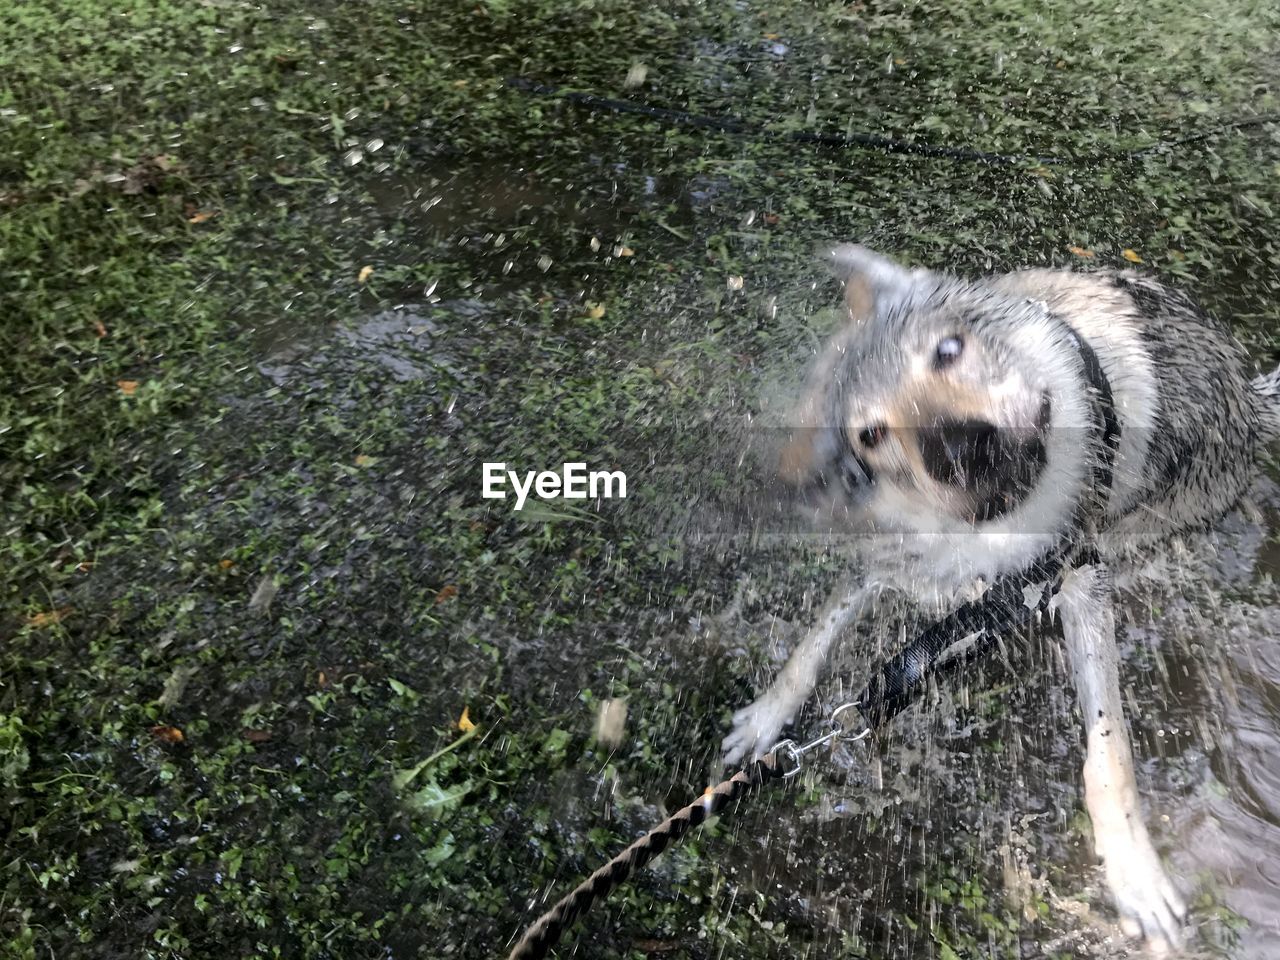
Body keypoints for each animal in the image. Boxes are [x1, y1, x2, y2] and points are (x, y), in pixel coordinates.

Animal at [721, 248, 1280, 957]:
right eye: (872, 434)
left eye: (948, 350)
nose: (966, 443)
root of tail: (1250, 398)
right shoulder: (902, 556)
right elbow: (814, 641)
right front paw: (765, 721)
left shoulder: (1080, 580)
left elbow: (1109, 753)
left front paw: (1135, 874)